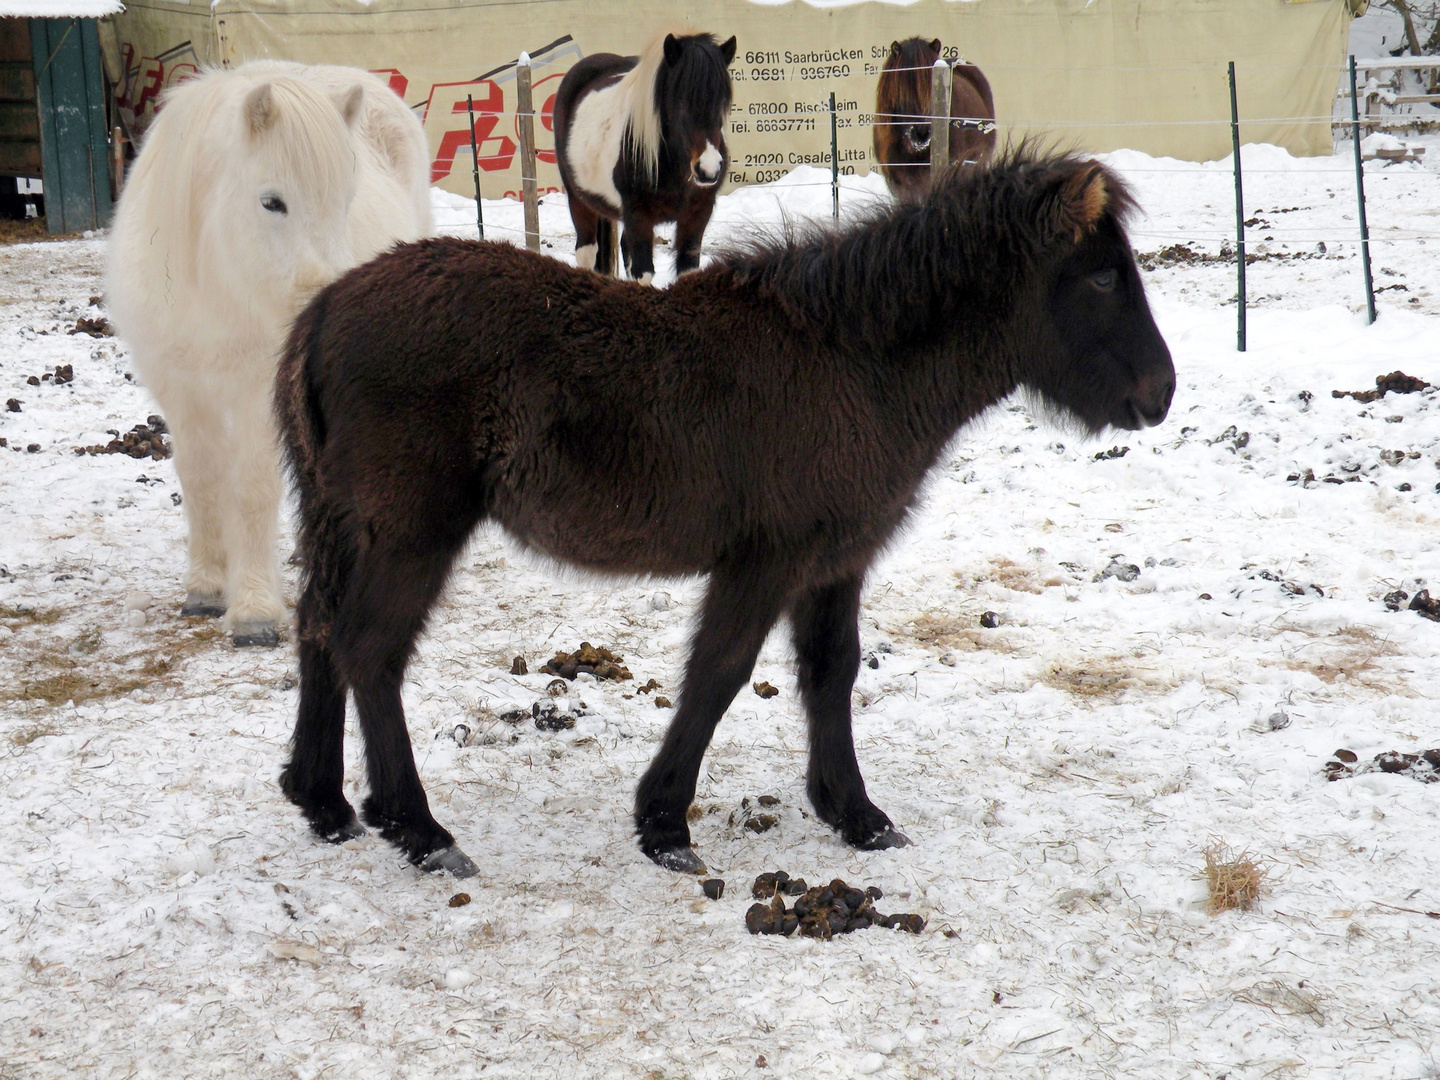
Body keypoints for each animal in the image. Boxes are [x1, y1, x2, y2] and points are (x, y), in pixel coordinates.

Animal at [109, 63, 429, 648]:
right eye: (272, 202)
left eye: (345, 201)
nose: (327, 304)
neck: (215, 279)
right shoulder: (180, 391)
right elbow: (200, 480)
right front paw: (206, 588)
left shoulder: (255, 391)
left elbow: (252, 489)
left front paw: (254, 610)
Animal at [275, 152, 1175, 881]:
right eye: (1101, 277)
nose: (1160, 394)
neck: (854, 362)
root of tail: (322, 311)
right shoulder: (766, 560)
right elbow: (718, 673)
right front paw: (665, 824)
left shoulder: (837, 560)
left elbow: (831, 672)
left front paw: (854, 814)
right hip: (412, 532)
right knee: (370, 648)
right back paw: (419, 830)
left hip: (341, 521)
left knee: (318, 628)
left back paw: (324, 805)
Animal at [552, 30, 737, 283]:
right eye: (681, 101)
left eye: (723, 101)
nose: (708, 169)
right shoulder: (638, 215)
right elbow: (644, 273)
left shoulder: (697, 215)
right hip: (578, 200)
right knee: (586, 252)